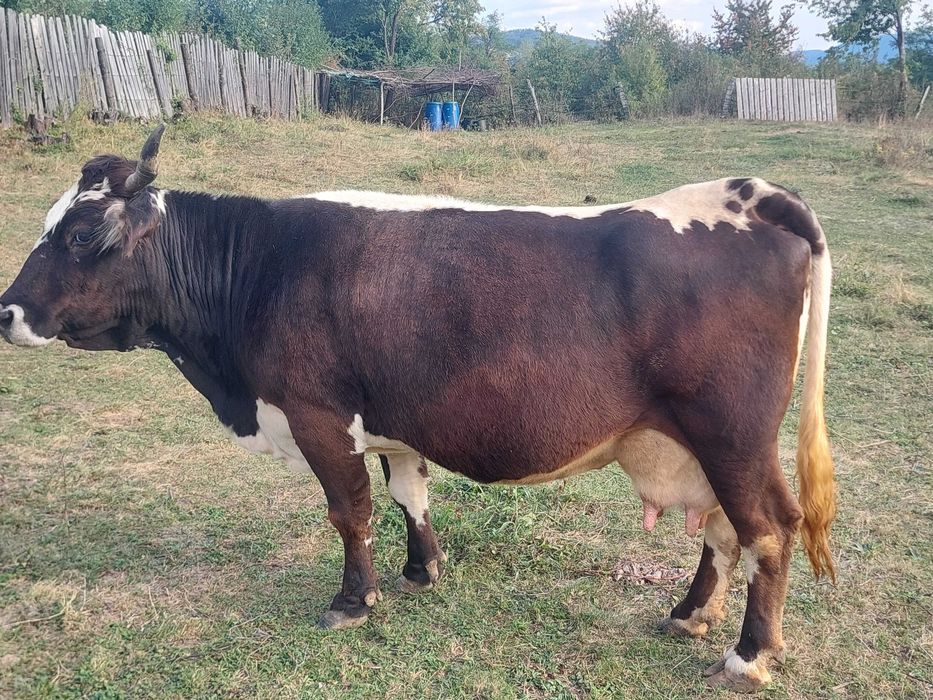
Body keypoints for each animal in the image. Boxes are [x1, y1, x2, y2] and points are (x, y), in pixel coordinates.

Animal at [0, 126, 836, 692]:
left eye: (81, 234)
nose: (6, 312)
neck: (261, 267)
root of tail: (748, 195)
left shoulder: (317, 416)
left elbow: (350, 512)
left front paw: (351, 599)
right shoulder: (392, 419)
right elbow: (408, 493)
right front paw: (420, 569)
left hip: (731, 432)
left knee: (766, 528)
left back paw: (747, 655)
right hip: (698, 441)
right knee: (722, 530)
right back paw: (689, 612)